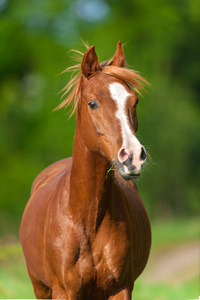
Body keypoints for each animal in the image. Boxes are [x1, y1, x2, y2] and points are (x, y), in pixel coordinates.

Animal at [20, 42, 152, 300]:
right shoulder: (64, 292)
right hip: (40, 287)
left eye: (135, 102)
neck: (88, 218)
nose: (132, 156)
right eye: (92, 103)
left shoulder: (121, 288)